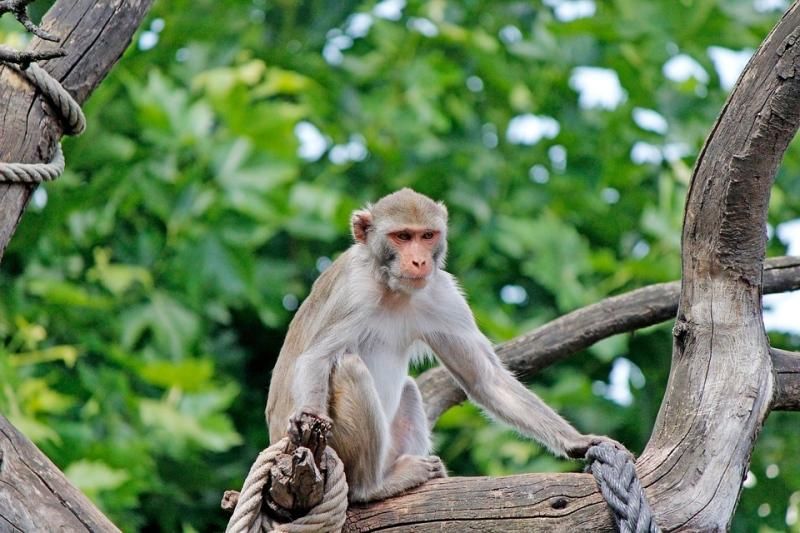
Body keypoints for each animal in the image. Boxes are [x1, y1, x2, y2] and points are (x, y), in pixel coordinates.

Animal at [266, 188, 620, 502]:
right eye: (402, 236)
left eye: (427, 236)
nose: (419, 261)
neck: (390, 287)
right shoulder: (354, 292)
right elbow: (316, 357)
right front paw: (308, 414)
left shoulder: (442, 294)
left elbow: (483, 378)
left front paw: (577, 441)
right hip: (335, 449)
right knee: (348, 367)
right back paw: (373, 487)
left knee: (408, 388)